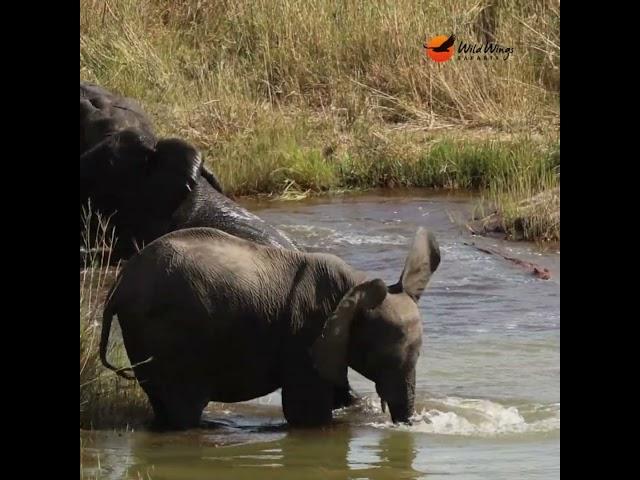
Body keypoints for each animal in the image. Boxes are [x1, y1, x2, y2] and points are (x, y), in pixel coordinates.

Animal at [100, 227, 440, 430]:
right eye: (384, 359)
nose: (402, 425)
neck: (355, 284)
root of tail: (119, 286)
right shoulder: (306, 330)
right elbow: (306, 412)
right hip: (167, 333)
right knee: (182, 406)